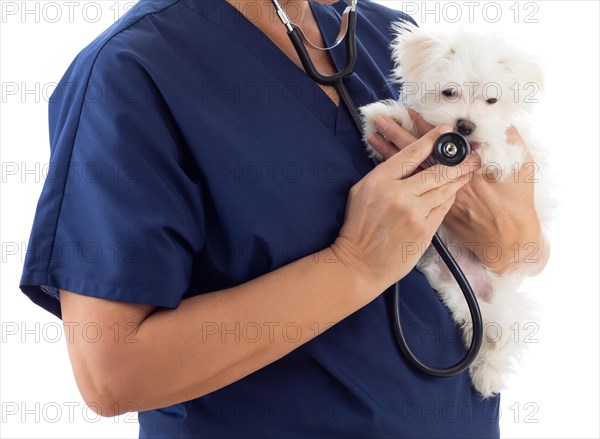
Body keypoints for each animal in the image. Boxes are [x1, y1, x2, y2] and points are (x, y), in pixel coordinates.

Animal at [358, 24, 552, 398]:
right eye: (449, 93)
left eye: (491, 101)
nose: (464, 125)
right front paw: (387, 117)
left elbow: (499, 146)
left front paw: (493, 156)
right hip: (446, 280)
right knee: (473, 317)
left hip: (506, 297)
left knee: (505, 331)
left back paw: (488, 372)